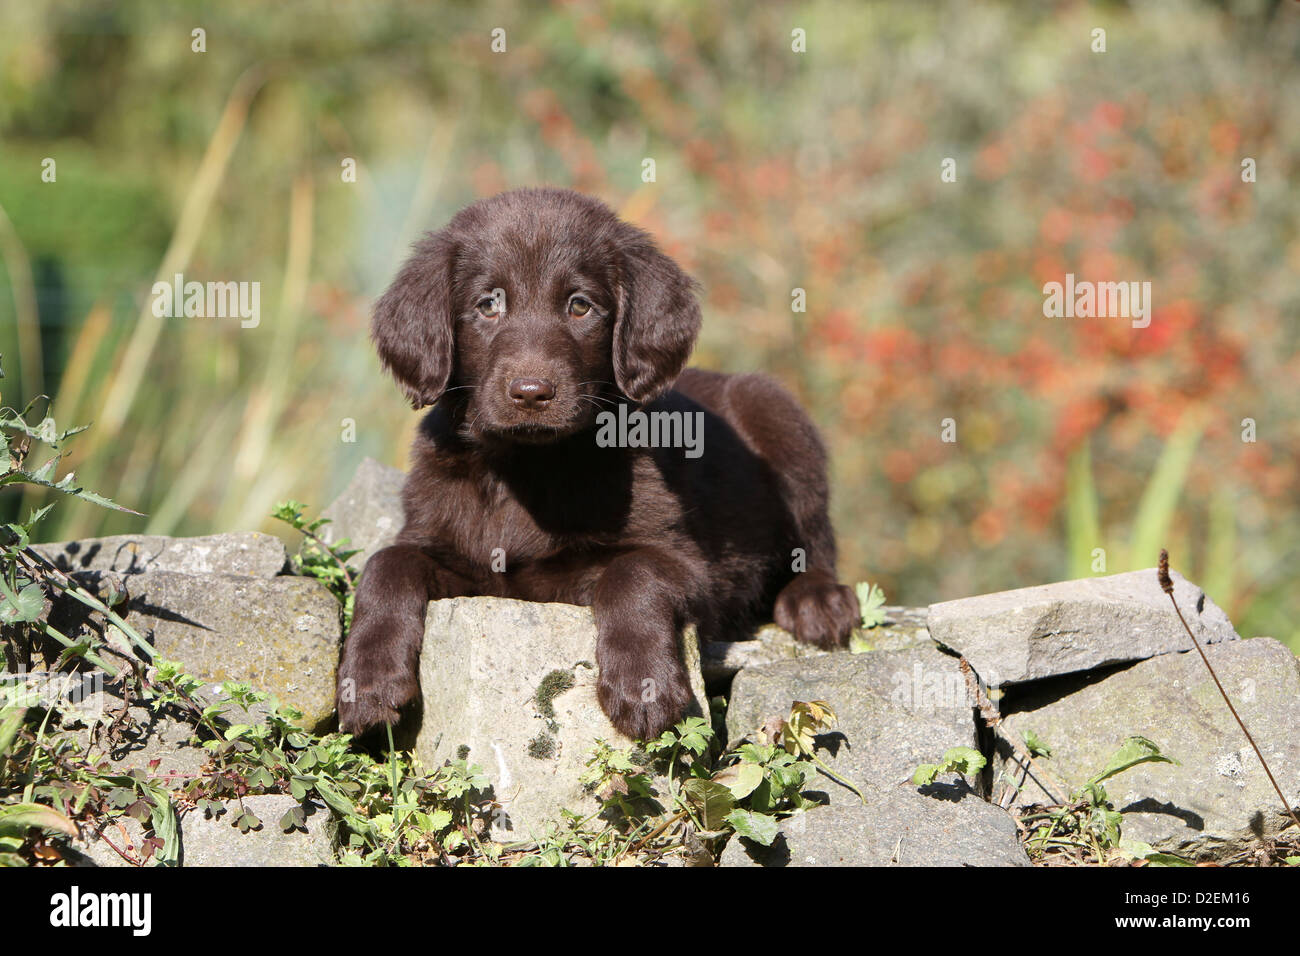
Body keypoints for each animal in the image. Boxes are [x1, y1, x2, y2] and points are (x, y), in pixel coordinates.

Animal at [340, 187, 857, 738]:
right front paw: (367, 683)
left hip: (776, 414)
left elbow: (632, 574)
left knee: (814, 541)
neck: (529, 467)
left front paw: (643, 686)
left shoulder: (687, 563)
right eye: (488, 304)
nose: (531, 393)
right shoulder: (453, 553)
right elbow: (386, 565)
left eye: (580, 305)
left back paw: (817, 600)